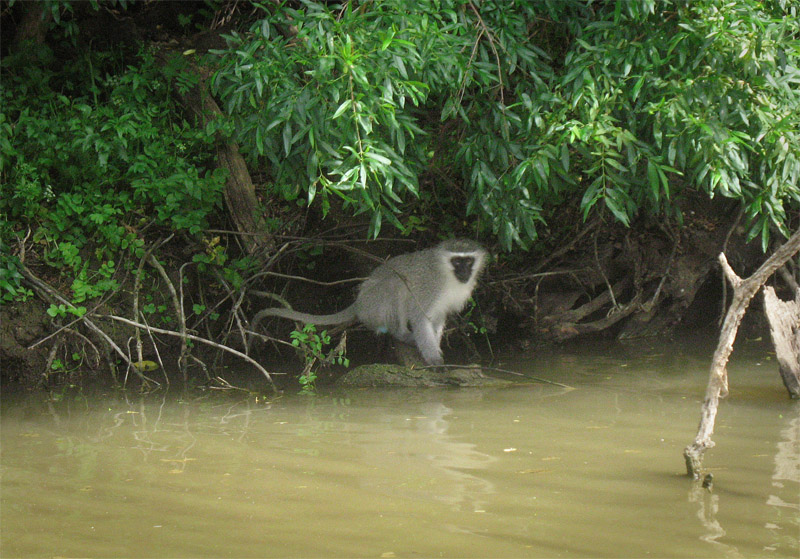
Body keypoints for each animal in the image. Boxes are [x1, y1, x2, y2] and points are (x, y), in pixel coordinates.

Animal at [251, 239, 487, 366]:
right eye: (457, 261)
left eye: (468, 261)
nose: (464, 272)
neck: (447, 276)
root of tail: (359, 302)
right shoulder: (429, 288)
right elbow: (420, 318)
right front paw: (433, 359)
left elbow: (437, 320)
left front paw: (436, 347)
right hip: (375, 304)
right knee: (395, 285)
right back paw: (402, 334)